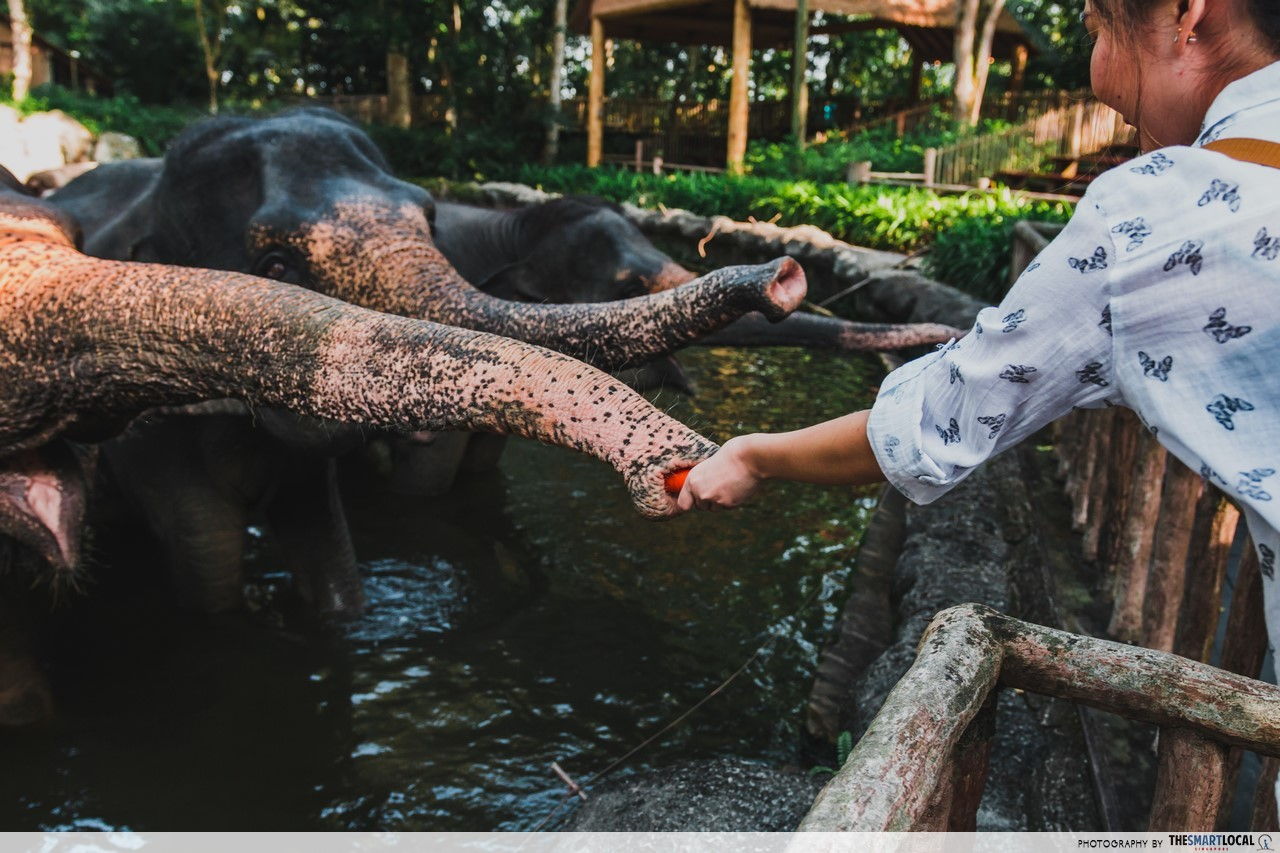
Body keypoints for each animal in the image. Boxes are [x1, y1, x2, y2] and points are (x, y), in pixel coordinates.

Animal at [47, 109, 808, 622]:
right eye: (274, 264)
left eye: (429, 216)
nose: (783, 276)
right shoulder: (142, 429)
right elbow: (209, 561)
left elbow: (332, 554)